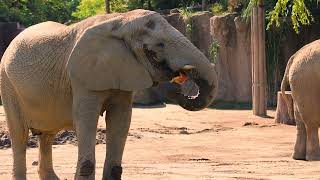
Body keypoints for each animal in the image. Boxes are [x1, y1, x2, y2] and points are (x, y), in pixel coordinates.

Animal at [0, 10, 218, 180]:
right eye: (158, 47)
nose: (181, 77)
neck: (120, 21)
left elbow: (121, 119)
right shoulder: (82, 78)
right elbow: (86, 119)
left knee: (47, 135)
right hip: (7, 83)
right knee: (19, 135)